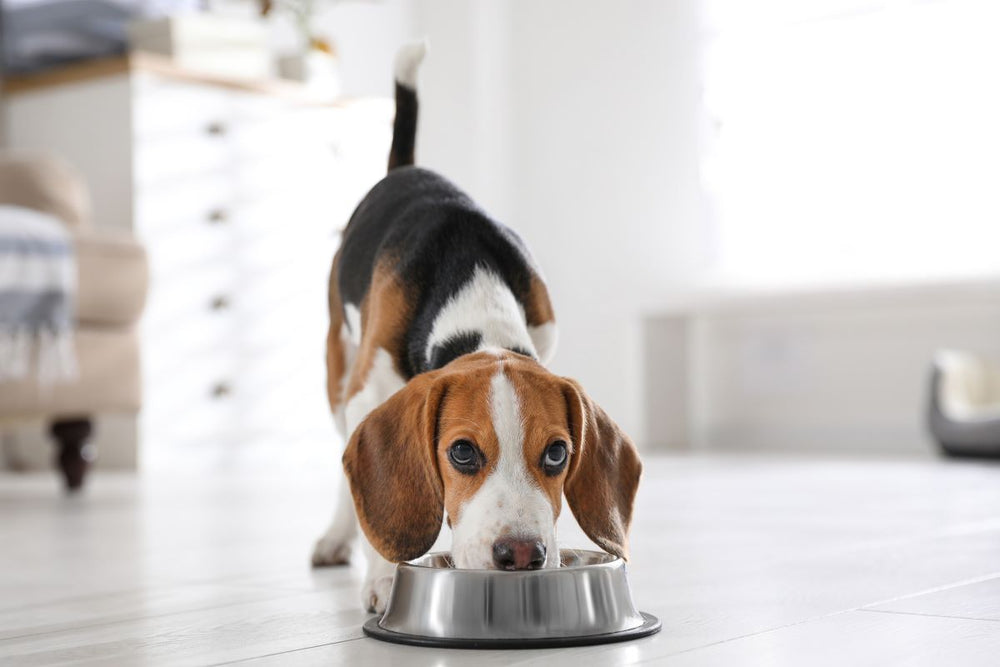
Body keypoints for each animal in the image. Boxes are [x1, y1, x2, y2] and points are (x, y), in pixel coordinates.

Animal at [308, 43, 644, 616]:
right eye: (462, 452)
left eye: (558, 453)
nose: (522, 554)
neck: (474, 292)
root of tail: (408, 168)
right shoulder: (367, 391)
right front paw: (384, 578)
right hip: (339, 374)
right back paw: (335, 536)